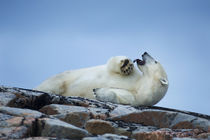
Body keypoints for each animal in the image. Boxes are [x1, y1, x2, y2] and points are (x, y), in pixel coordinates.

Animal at [35, 52, 168, 106]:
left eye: (155, 61)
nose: (145, 52)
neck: (139, 85)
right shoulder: (134, 77)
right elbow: (113, 64)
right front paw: (126, 65)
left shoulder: (136, 98)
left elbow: (117, 96)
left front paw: (97, 92)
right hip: (63, 77)